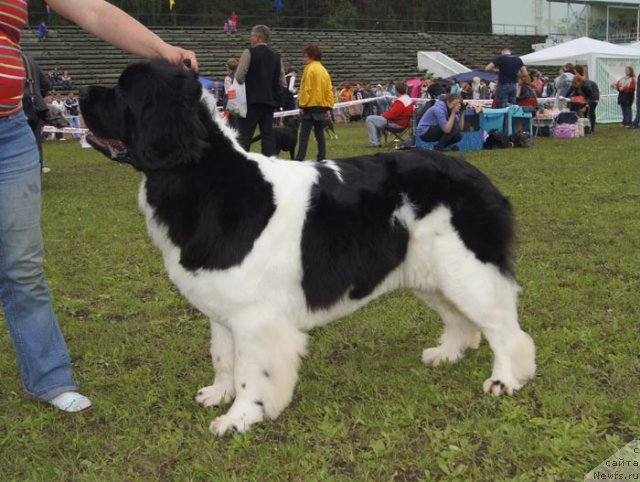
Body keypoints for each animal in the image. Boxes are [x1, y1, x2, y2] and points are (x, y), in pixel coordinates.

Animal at [80, 60, 536, 436]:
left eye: (123, 90)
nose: (83, 92)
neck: (200, 177)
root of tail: (479, 176)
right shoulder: (222, 308)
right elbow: (222, 356)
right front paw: (218, 394)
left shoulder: (255, 317)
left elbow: (250, 369)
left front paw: (240, 416)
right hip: (431, 273)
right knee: (462, 318)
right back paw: (446, 354)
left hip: (466, 267)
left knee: (503, 327)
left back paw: (506, 379)